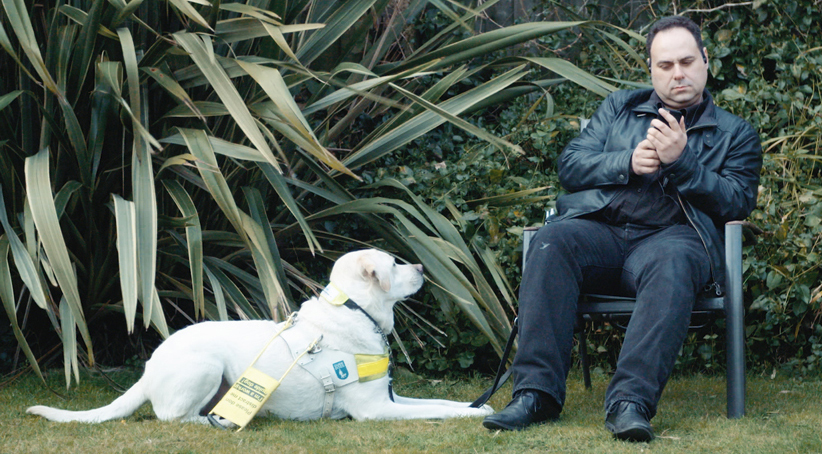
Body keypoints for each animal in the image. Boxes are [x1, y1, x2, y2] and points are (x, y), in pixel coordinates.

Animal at [27, 249, 494, 425]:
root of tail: (148, 368)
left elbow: (443, 402)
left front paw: (478, 406)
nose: (421, 266)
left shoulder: (390, 396)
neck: (353, 310)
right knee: (172, 417)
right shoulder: (376, 410)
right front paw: (473, 416)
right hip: (206, 365)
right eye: (395, 264)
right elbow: (440, 411)